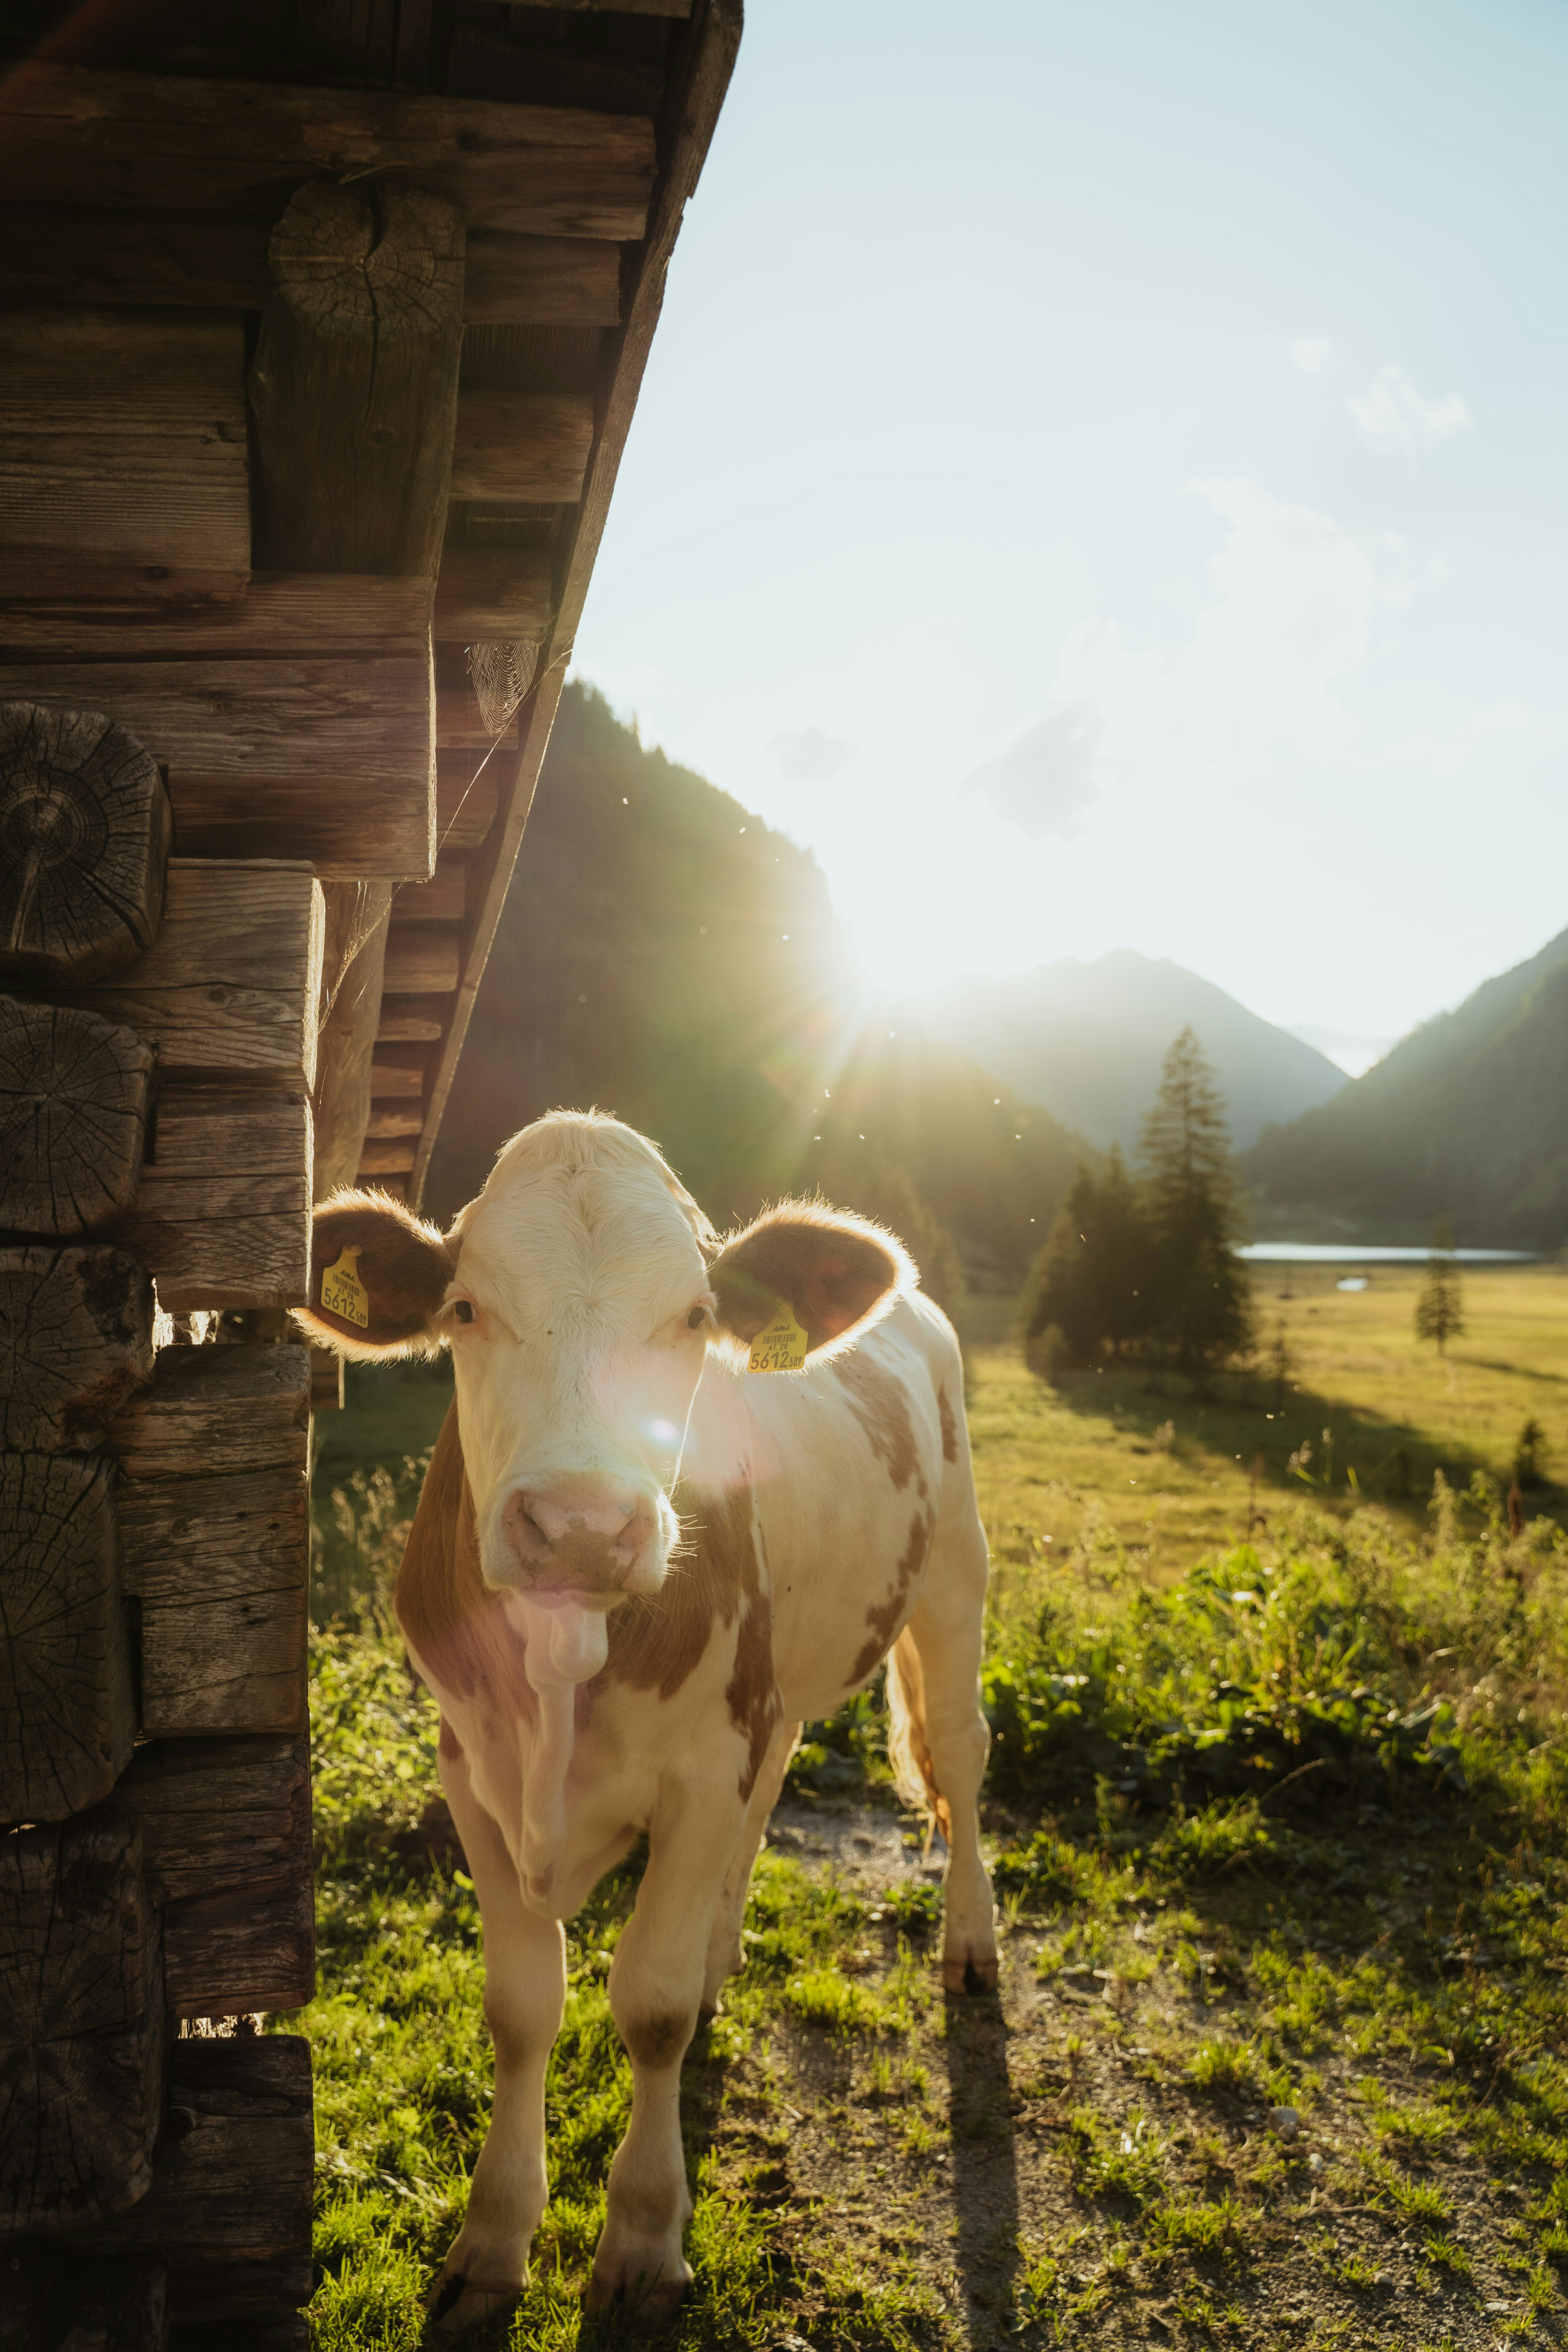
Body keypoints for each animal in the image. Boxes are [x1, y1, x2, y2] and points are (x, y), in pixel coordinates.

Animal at [297, 1111, 997, 2331]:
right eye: (465, 1309)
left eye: (698, 1319)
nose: (581, 1524)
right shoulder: (470, 1769)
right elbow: (522, 2006)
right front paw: (496, 2232)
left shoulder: (705, 1764)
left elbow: (652, 2007)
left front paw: (641, 2235)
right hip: (781, 1685)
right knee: (774, 1794)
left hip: (953, 1575)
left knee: (959, 1758)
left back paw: (970, 1944)